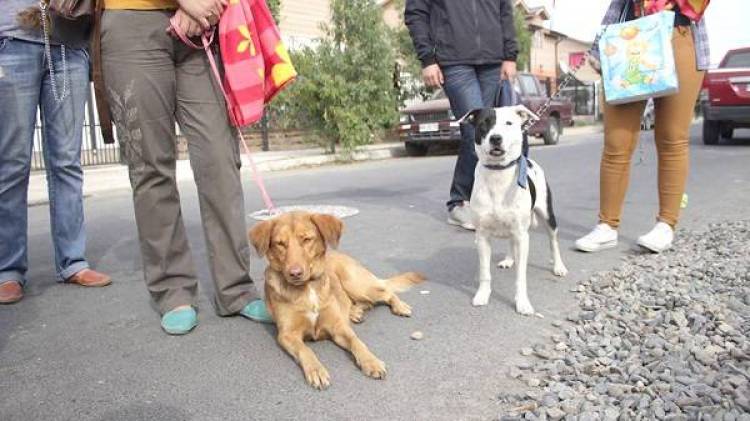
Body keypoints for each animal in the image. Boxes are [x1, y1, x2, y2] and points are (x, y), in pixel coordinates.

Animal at [250, 212, 426, 388]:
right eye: (280, 243)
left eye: (307, 239)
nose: (295, 273)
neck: (308, 288)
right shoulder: (287, 334)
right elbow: (305, 350)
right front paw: (316, 370)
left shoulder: (338, 327)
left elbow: (357, 342)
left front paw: (371, 361)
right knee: (366, 302)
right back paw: (355, 312)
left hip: (356, 284)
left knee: (386, 292)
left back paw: (399, 306)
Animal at [458, 105, 568, 316]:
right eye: (484, 124)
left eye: (508, 123)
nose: (496, 138)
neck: (498, 173)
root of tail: (529, 161)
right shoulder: (482, 236)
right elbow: (485, 272)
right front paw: (482, 295)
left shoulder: (522, 236)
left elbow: (521, 276)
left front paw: (522, 302)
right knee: (511, 243)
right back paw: (509, 259)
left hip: (548, 215)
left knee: (553, 242)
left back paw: (558, 266)